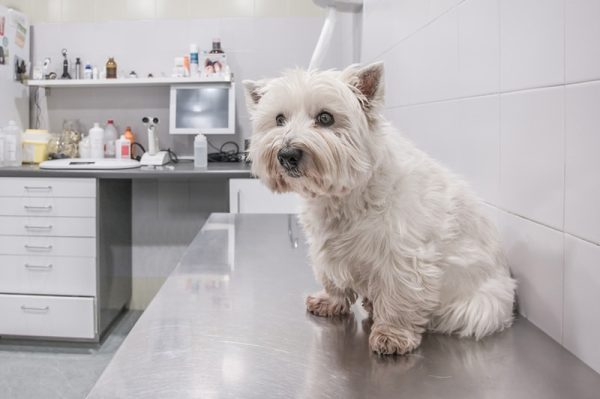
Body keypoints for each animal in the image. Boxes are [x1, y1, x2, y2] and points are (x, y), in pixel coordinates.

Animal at [244, 62, 516, 356]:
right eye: (279, 119)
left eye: (326, 118)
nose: (287, 155)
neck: (343, 196)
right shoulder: (326, 248)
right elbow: (331, 279)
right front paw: (330, 301)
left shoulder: (403, 256)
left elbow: (400, 295)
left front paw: (392, 334)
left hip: (478, 305)